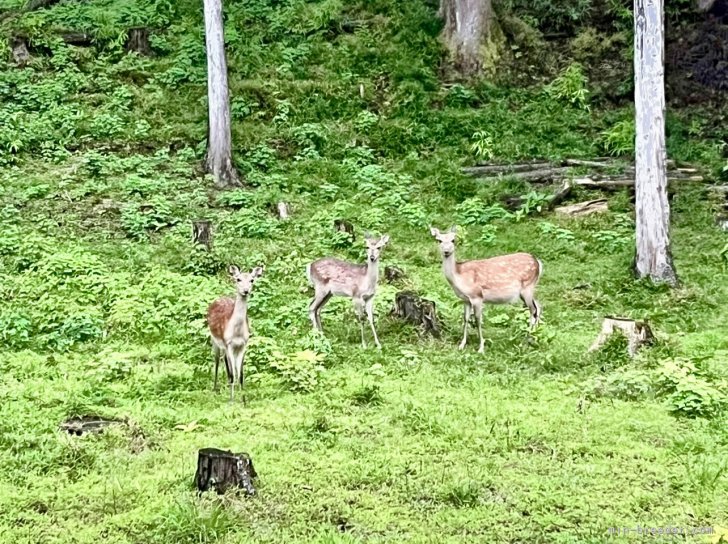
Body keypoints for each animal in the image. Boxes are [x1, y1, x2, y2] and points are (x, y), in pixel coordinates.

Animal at [206, 266, 264, 402]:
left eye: (252, 280)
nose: (245, 291)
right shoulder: (228, 344)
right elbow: (233, 374)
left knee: (226, 363)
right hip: (214, 340)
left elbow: (240, 375)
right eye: (238, 279)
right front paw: (231, 401)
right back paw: (215, 388)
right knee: (217, 360)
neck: (236, 333)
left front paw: (243, 401)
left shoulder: (243, 345)